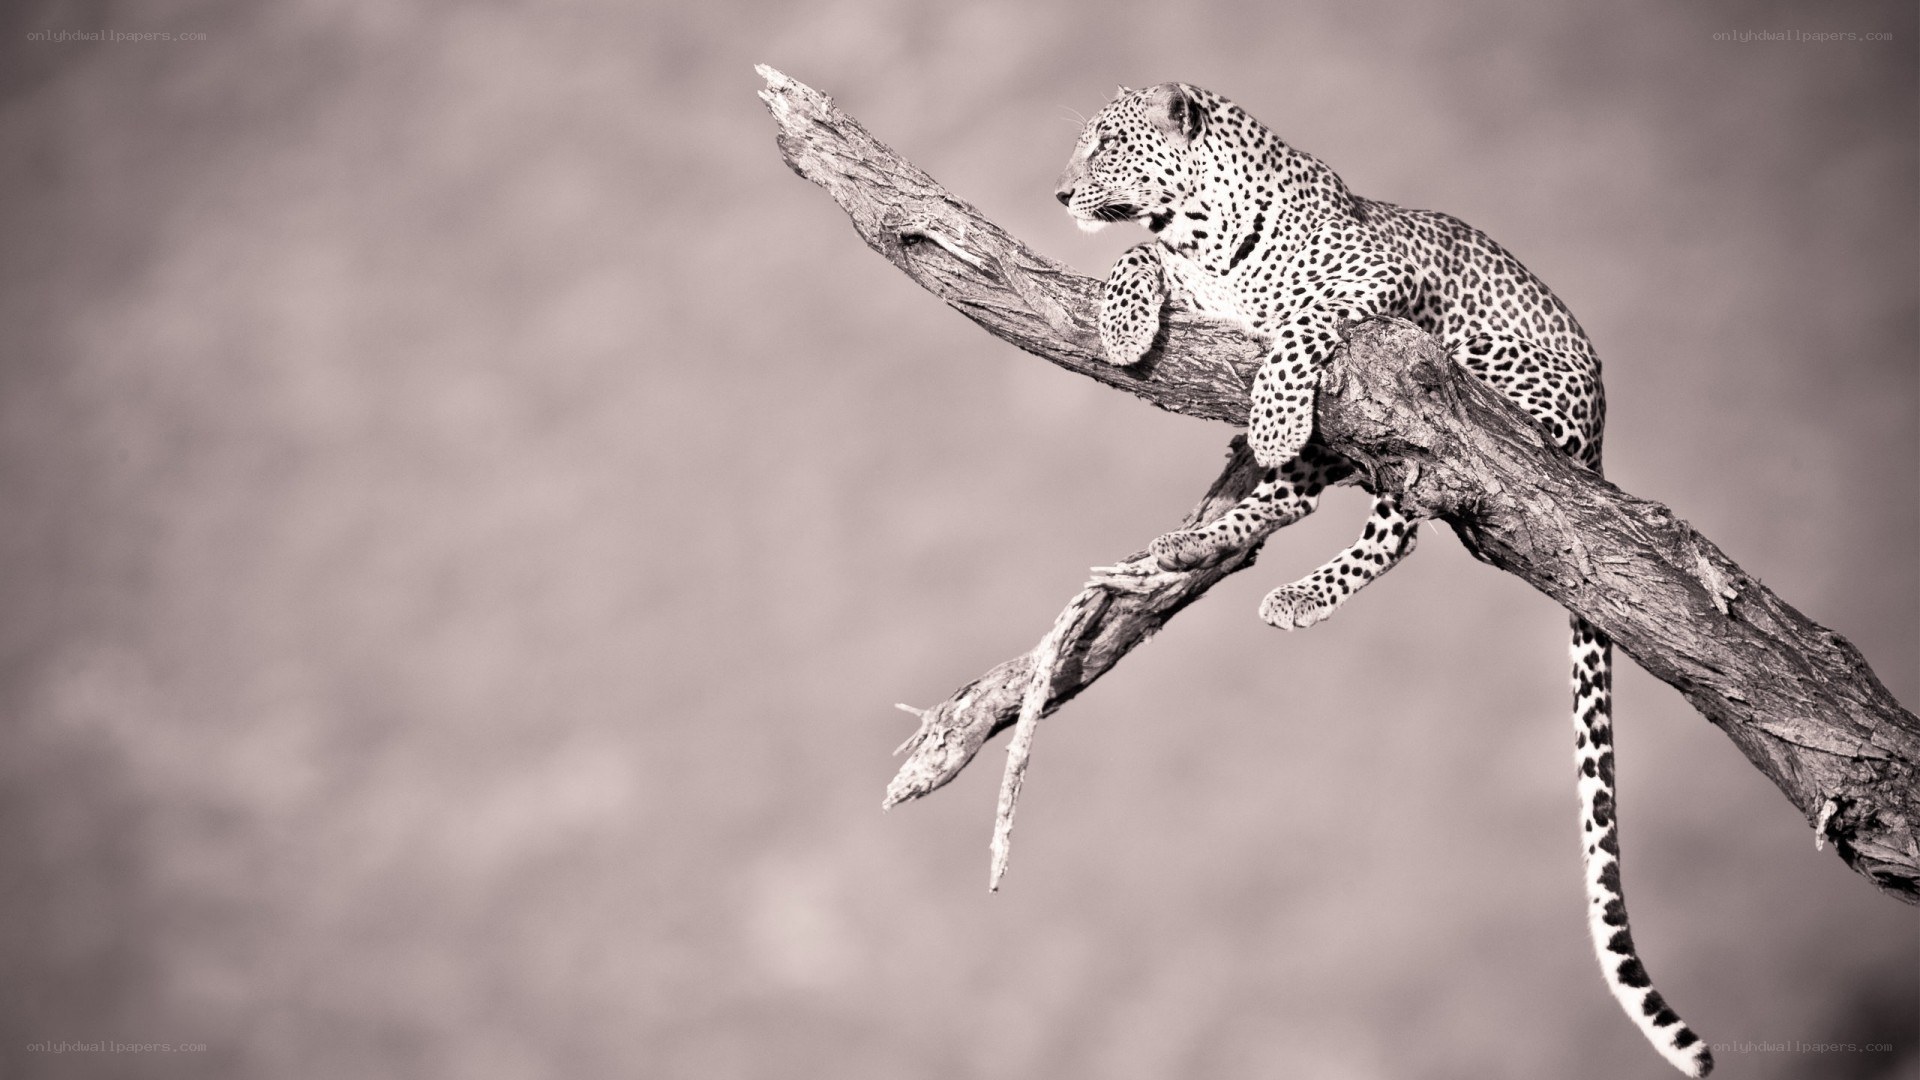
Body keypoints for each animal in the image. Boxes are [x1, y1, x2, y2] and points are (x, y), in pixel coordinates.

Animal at [1057, 82, 1712, 1078]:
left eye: (1107, 145)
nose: (1059, 194)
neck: (1201, 231)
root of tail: (1599, 436)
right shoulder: (1190, 276)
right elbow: (1136, 256)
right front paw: (1127, 326)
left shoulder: (1372, 283)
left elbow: (1297, 324)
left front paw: (1272, 409)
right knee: (1297, 501)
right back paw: (1188, 546)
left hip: (1455, 396)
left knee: (1400, 520)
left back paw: (1289, 577)